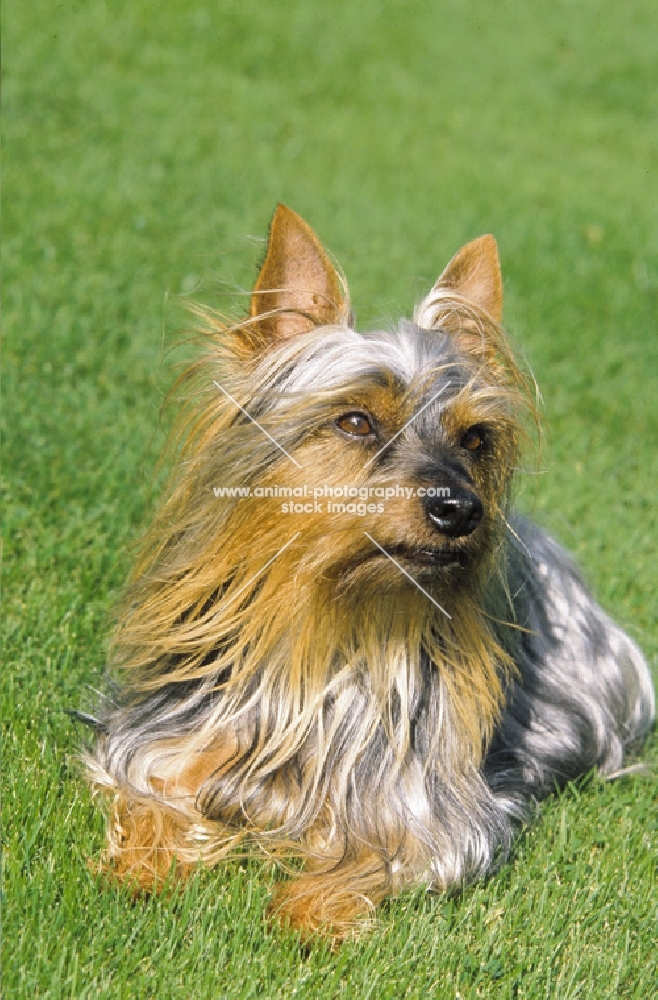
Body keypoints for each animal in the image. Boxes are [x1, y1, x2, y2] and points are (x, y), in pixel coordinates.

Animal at [86, 201, 652, 936]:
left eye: (476, 438)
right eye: (355, 421)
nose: (461, 508)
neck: (333, 634)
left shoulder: (432, 816)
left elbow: (376, 856)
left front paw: (311, 910)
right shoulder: (161, 743)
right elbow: (144, 795)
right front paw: (141, 866)